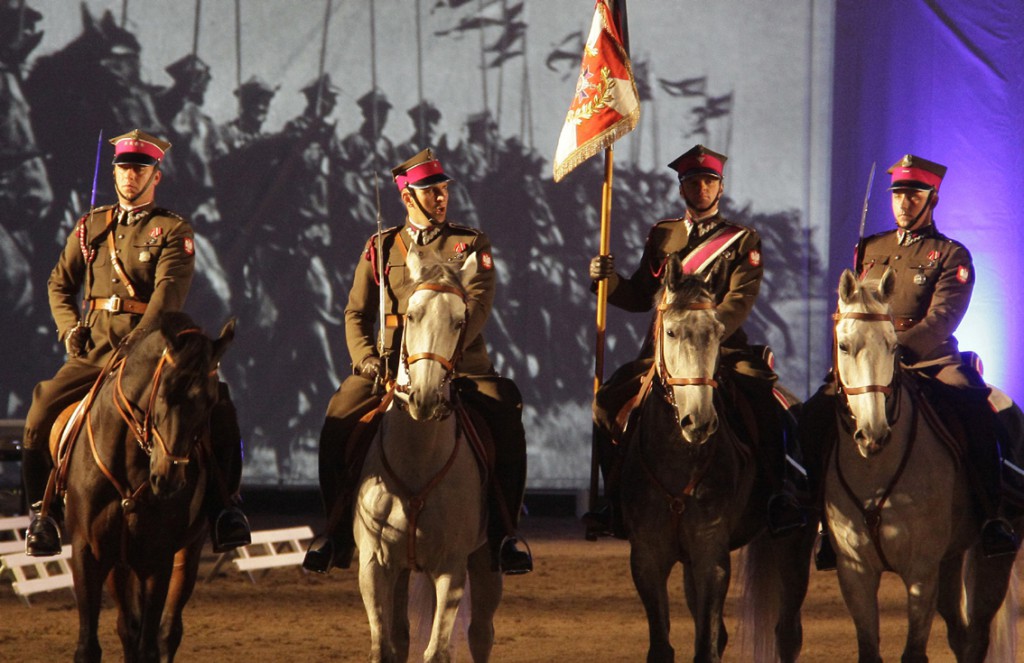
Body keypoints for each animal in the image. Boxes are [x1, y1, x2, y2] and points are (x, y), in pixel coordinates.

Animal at [61, 313, 234, 663]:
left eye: (210, 402)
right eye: (164, 392)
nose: (168, 478)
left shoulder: (157, 558)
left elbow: (150, 645)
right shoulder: (88, 552)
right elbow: (90, 646)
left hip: (186, 551)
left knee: (167, 631)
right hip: (119, 562)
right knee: (128, 628)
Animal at [354, 250, 501, 663]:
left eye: (459, 321)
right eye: (412, 315)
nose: (424, 397)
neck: (418, 460)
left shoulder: (452, 568)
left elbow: (437, 651)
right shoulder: (374, 566)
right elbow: (383, 647)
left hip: (485, 561)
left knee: (481, 633)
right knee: (402, 635)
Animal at [827, 270, 1019, 663]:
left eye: (893, 346)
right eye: (844, 346)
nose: (873, 433)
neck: (875, 471)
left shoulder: (921, 572)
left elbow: (914, 651)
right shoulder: (855, 572)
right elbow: (868, 649)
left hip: (991, 560)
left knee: (976, 634)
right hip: (951, 558)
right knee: (961, 634)